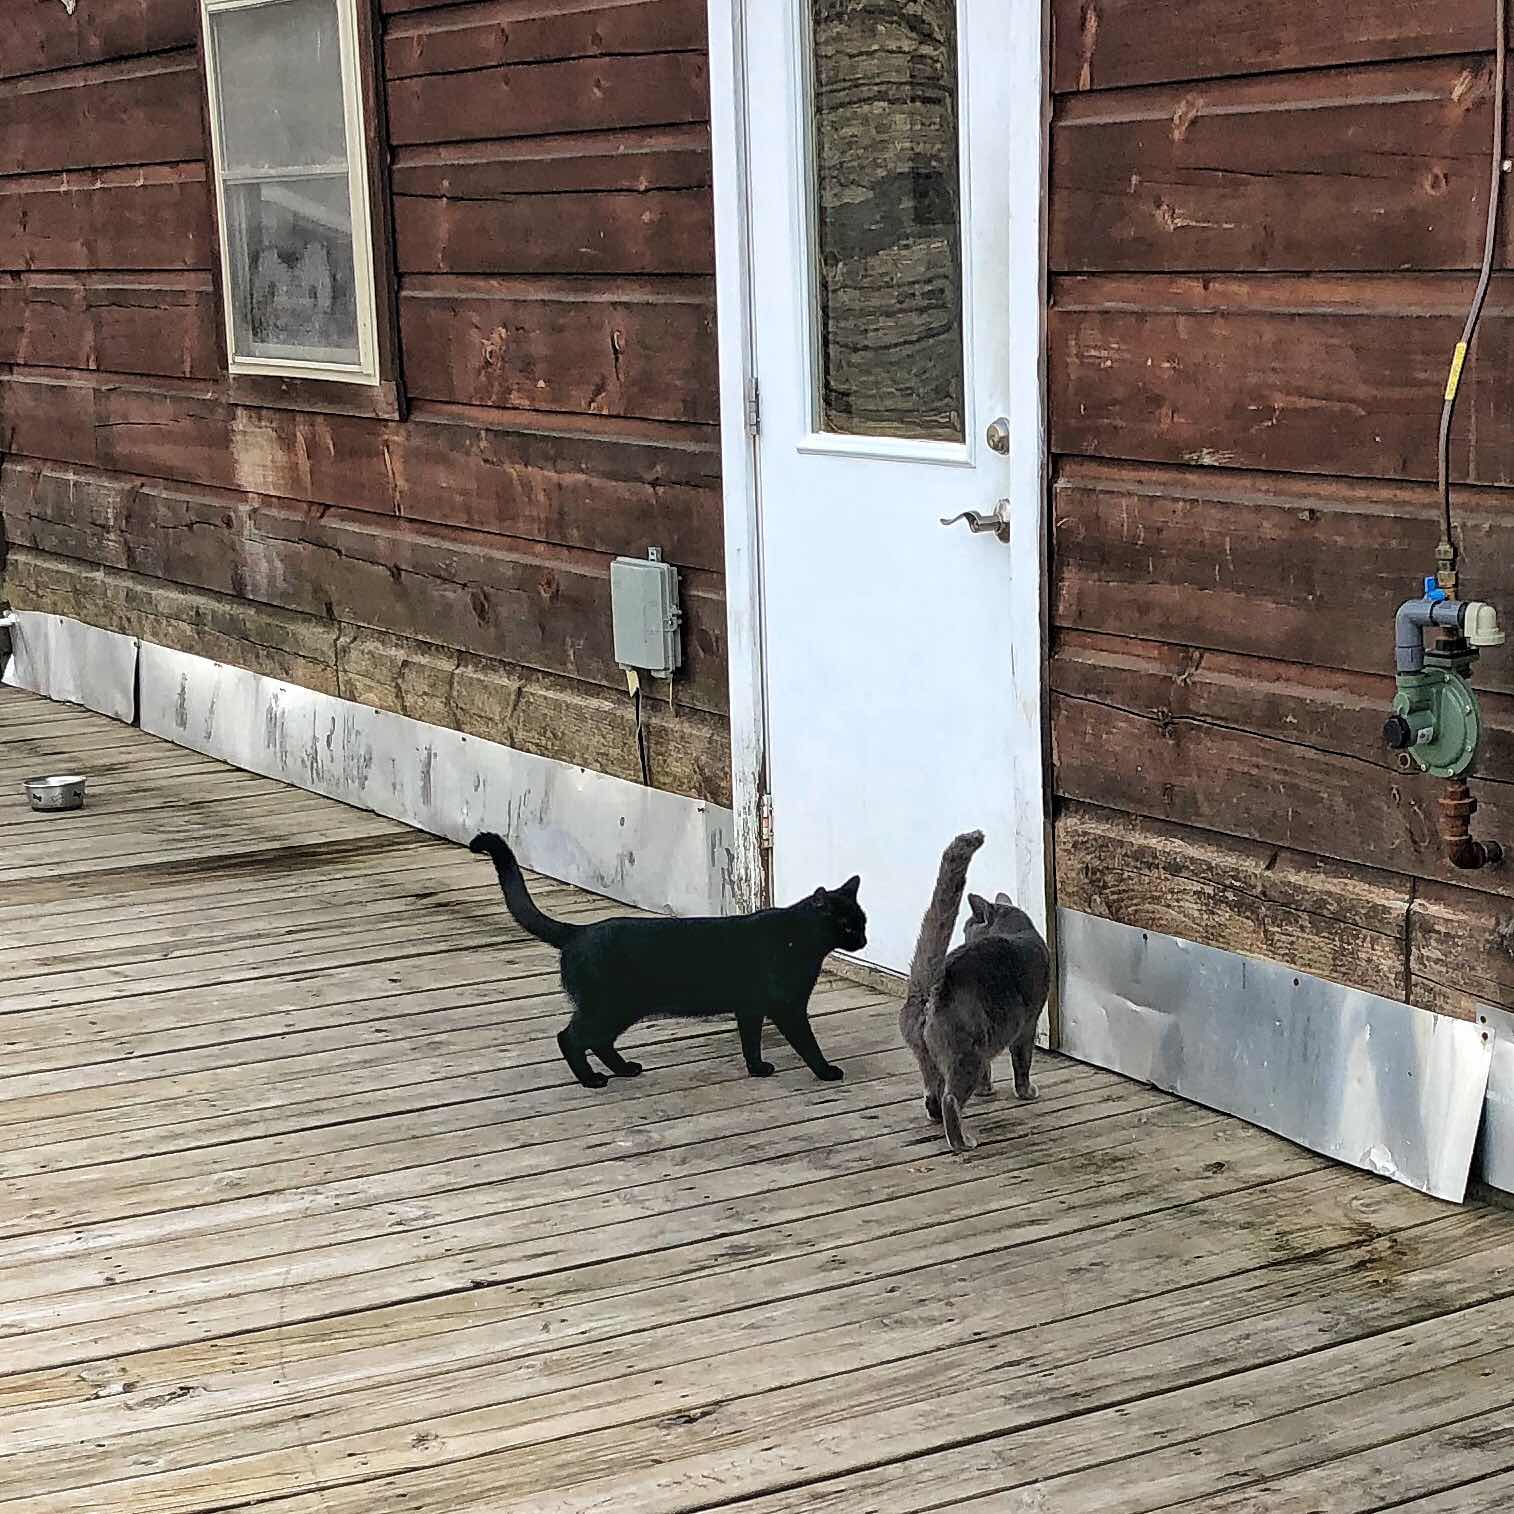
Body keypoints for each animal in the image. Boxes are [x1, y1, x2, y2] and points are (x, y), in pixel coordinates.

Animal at [469, 832, 867, 1089]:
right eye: (848, 925)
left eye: (863, 921)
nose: (863, 940)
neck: (796, 936)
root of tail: (577, 932)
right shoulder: (787, 1007)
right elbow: (807, 1043)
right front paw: (826, 1071)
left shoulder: (750, 1007)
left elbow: (750, 1041)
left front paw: (757, 1068)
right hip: (610, 1006)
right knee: (570, 1037)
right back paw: (592, 1080)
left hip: (620, 1009)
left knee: (598, 1041)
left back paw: (625, 1069)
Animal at [900, 830, 1051, 1152]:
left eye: (968, 925)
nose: (964, 932)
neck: (1018, 931)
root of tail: (929, 990)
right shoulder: (1027, 1024)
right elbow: (1022, 1061)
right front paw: (1026, 1091)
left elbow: (989, 1070)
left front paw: (986, 1090)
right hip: (965, 1054)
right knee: (950, 1098)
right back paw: (962, 1141)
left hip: (930, 1054)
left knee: (933, 1094)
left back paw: (939, 1118)